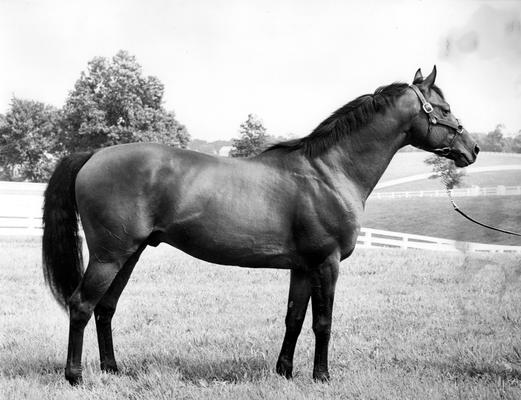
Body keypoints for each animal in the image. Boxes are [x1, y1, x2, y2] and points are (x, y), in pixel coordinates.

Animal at [42, 68, 478, 384]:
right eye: (443, 107)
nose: (471, 149)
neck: (329, 172)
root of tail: (93, 154)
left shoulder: (303, 267)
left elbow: (294, 318)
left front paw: (284, 372)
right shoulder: (327, 263)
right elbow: (323, 322)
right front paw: (322, 377)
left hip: (128, 254)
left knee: (105, 308)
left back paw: (114, 371)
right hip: (109, 256)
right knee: (81, 306)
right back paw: (75, 376)